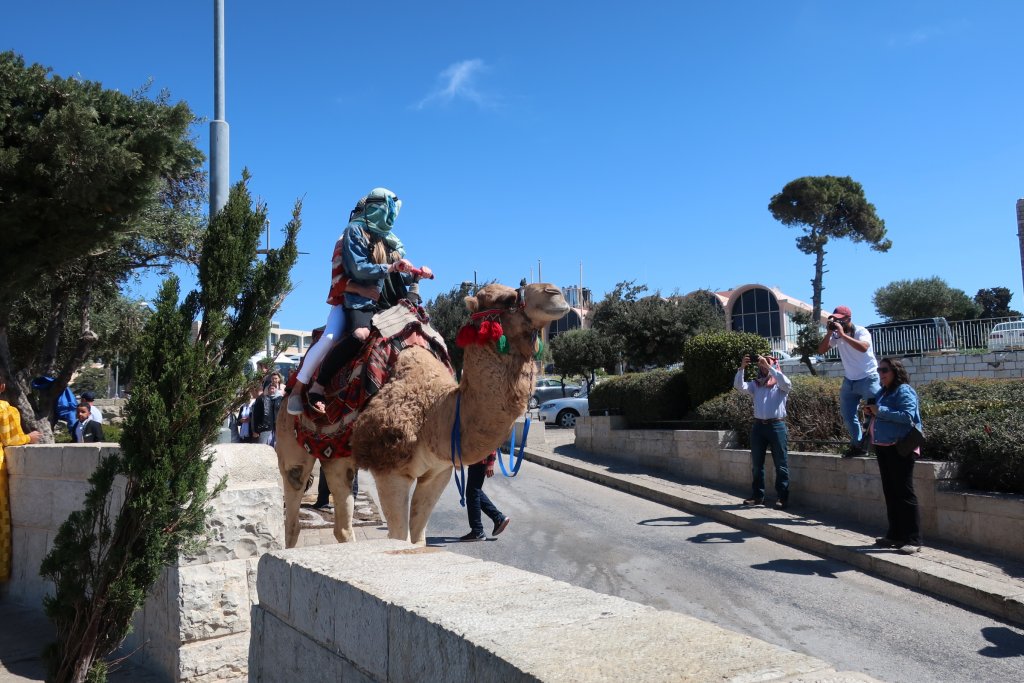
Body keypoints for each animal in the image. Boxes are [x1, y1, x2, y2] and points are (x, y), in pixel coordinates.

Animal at [276, 282, 573, 548]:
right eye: (507, 299)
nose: (555, 293)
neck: (435, 413)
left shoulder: (438, 472)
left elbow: (418, 540)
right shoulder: (391, 470)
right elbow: (400, 538)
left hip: (338, 456)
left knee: (341, 519)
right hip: (292, 444)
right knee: (293, 513)